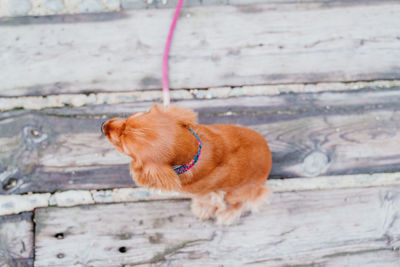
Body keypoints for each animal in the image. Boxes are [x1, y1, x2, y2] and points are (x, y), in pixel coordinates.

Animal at [103, 105, 272, 226]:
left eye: (123, 145)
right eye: (128, 119)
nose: (103, 126)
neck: (195, 152)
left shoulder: (206, 192)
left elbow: (208, 199)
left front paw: (203, 208)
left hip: (238, 192)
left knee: (246, 199)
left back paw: (227, 213)